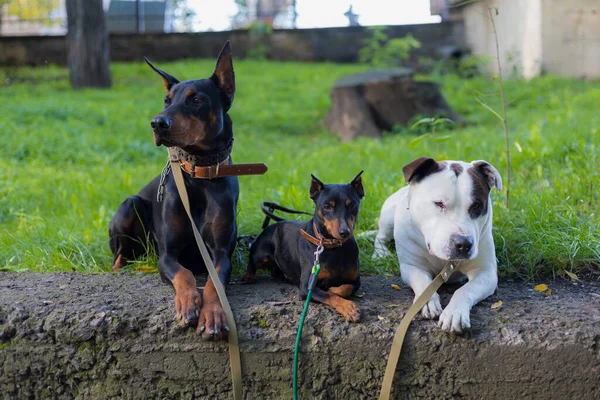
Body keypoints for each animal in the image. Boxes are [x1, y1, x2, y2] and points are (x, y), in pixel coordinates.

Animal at [109, 41, 250, 340]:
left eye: (196, 100)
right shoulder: (167, 254)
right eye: (167, 100)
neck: (199, 175)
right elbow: (184, 273)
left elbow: (214, 283)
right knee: (119, 254)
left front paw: (212, 314)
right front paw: (188, 302)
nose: (157, 123)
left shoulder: (221, 253)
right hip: (130, 205)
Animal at [241, 173, 364, 322]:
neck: (334, 246)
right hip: (261, 253)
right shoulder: (307, 287)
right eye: (327, 206)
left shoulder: (356, 279)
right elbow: (329, 296)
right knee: (252, 260)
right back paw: (248, 276)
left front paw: (335, 289)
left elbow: (347, 288)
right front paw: (348, 308)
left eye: (352, 205)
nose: (345, 232)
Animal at [376, 156, 502, 334]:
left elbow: (465, 290)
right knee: (380, 236)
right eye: (439, 203)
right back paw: (380, 254)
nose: (464, 244)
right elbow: (423, 282)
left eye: (477, 205)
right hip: (388, 216)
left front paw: (454, 313)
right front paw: (427, 302)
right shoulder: (411, 267)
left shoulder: (486, 272)